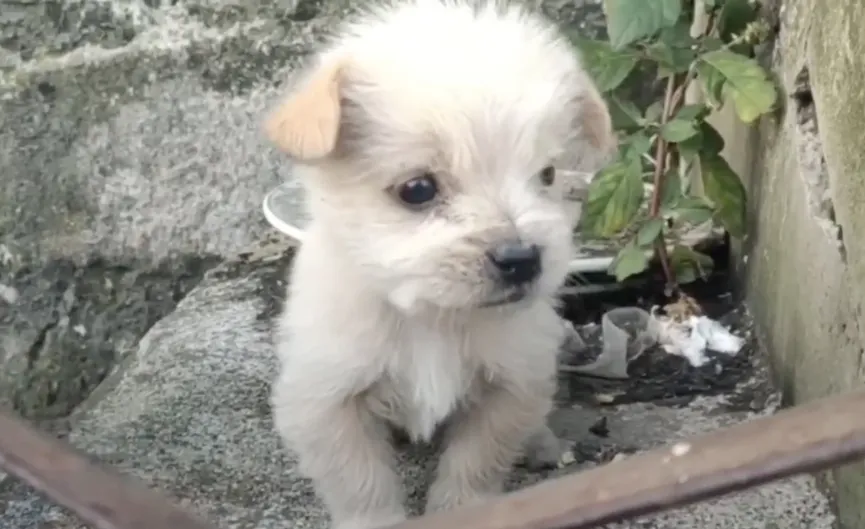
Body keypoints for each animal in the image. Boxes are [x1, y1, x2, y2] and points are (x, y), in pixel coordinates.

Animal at [264, 1, 616, 528]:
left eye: (547, 175)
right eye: (417, 189)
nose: (522, 259)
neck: (431, 318)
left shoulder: (510, 385)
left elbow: (475, 465)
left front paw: (463, 510)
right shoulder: (328, 402)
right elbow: (362, 486)